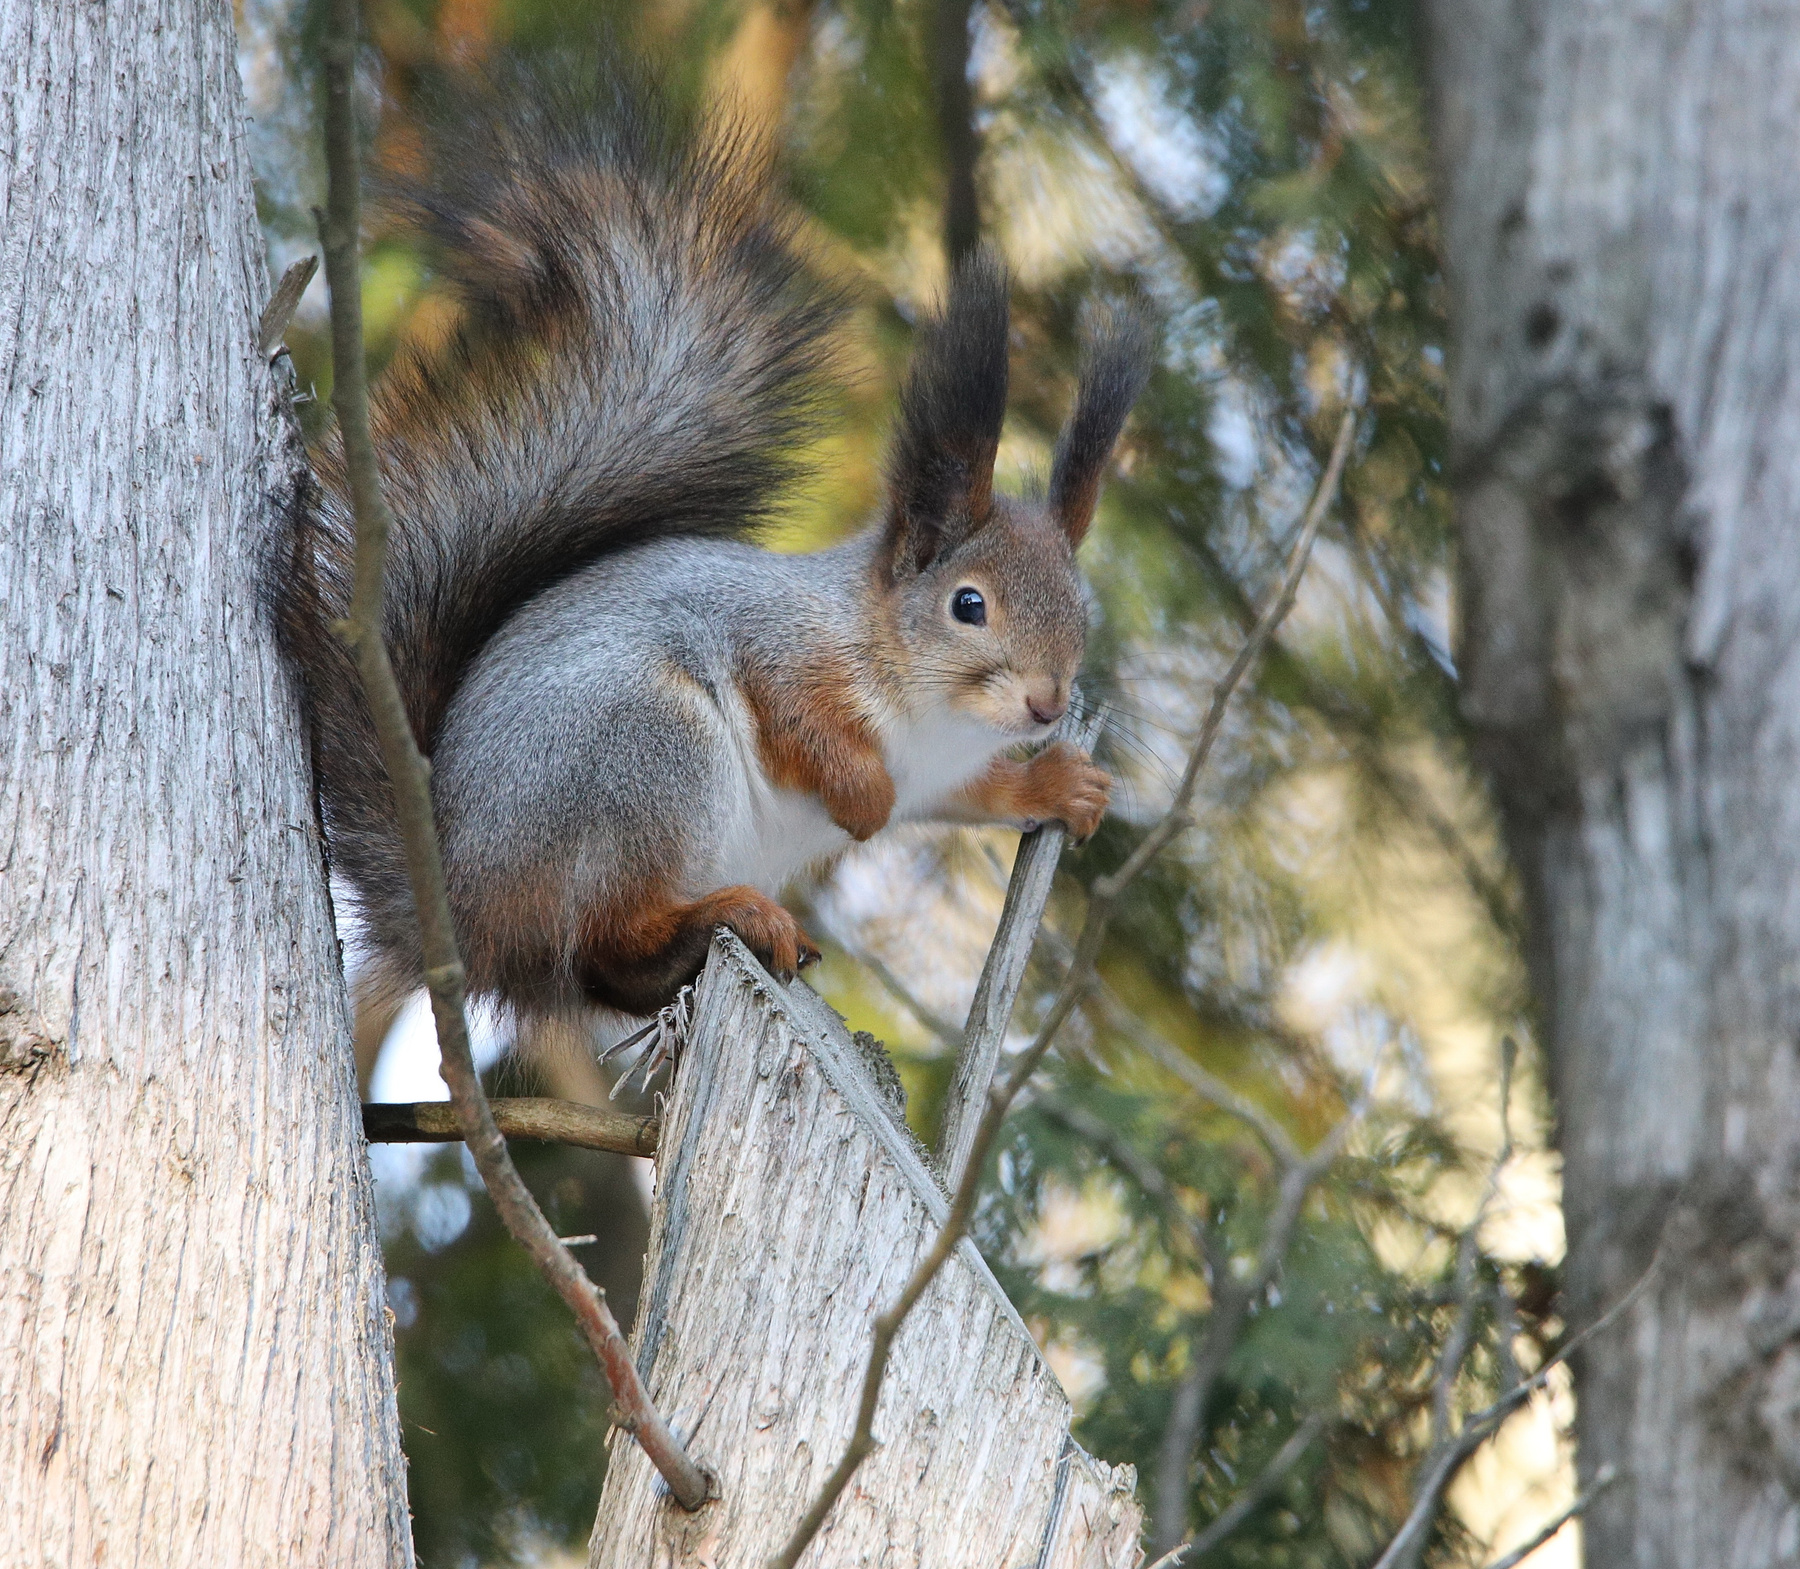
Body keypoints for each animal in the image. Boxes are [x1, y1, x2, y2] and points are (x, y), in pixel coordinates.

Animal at [280, 58, 1152, 1014]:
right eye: (969, 605)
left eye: (1082, 611)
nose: (1047, 703)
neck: (931, 716)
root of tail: (464, 913)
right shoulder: (775, 640)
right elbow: (796, 716)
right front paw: (864, 797)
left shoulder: (944, 770)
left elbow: (975, 791)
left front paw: (1059, 785)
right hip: (645, 755)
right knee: (612, 930)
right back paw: (725, 915)